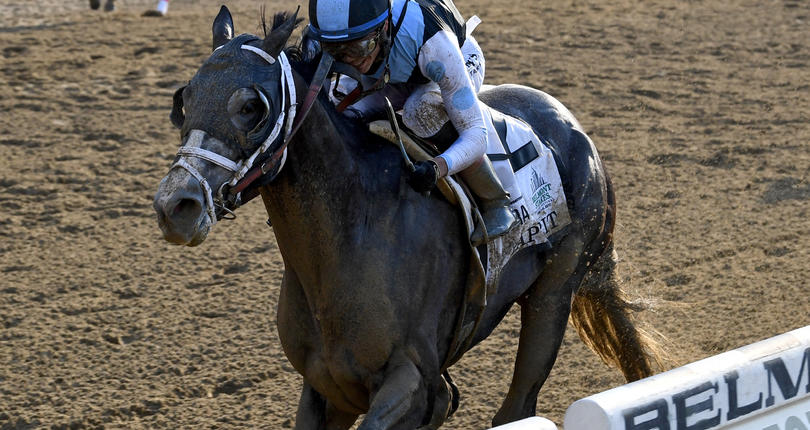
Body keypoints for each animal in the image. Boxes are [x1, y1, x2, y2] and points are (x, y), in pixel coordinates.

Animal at [153, 7, 664, 430]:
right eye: (185, 99)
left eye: (251, 107)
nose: (175, 206)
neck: (350, 240)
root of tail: (577, 132)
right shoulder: (329, 388)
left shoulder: (419, 386)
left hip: (554, 293)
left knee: (518, 405)